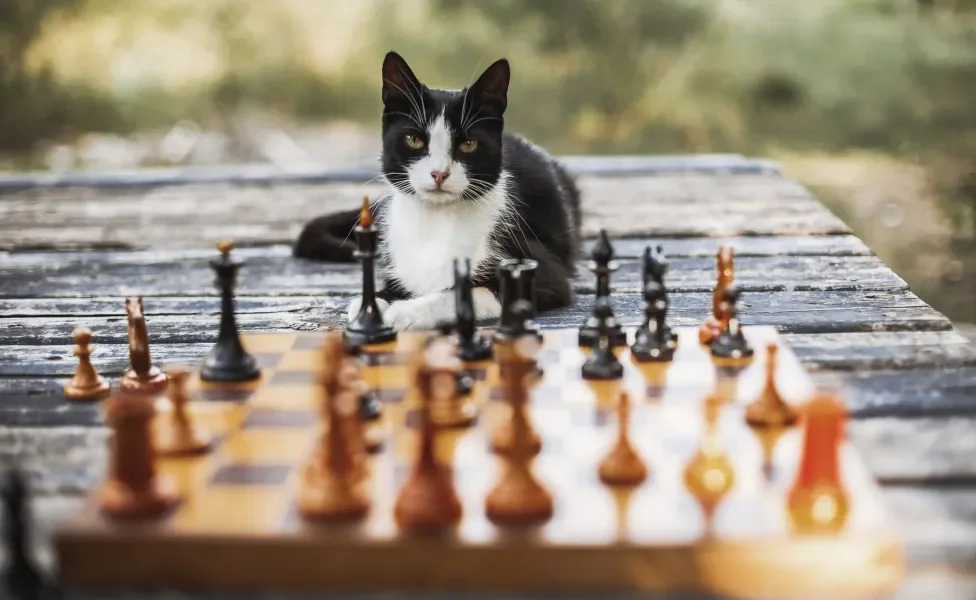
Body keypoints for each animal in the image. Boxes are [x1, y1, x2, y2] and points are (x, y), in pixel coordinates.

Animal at [290, 52, 580, 330]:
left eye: (468, 144)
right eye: (414, 140)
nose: (439, 173)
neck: (435, 220)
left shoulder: (539, 268)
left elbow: (471, 291)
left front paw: (406, 311)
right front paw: (374, 304)